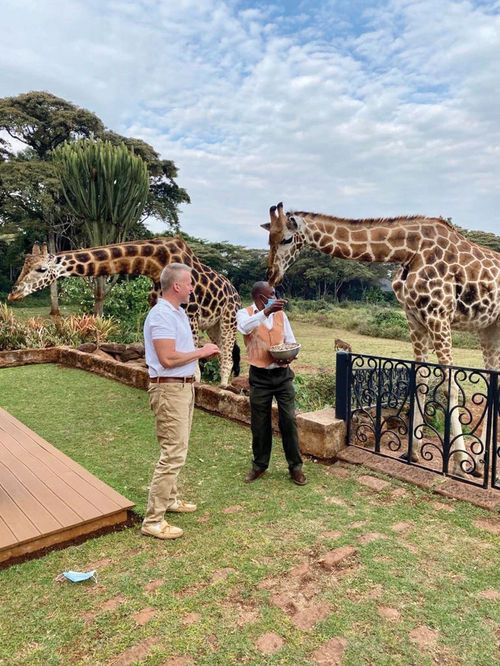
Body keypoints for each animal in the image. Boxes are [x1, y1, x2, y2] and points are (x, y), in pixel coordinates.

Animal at [8, 238, 241, 387]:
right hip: (213, 325)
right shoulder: (156, 308)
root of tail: (234, 290)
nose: (13, 293)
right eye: (23, 266)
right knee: (223, 352)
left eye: (41, 269)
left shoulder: (190, 313)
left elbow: (193, 366)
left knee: (228, 355)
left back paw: (223, 387)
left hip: (229, 318)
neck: (156, 265)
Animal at [263, 202, 500, 477]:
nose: (271, 274)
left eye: (287, 239)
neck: (409, 251)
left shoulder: (439, 315)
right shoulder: (415, 318)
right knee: (493, 382)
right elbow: (420, 379)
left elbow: (449, 385)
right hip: (489, 327)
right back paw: (481, 461)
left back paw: (477, 463)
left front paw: (460, 463)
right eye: (269, 238)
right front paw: (413, 452)